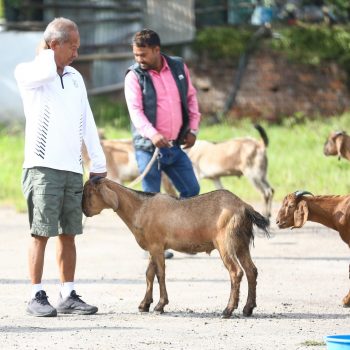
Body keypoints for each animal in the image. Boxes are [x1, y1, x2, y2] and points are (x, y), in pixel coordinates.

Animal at [83, 178, 270, 318]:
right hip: (241, 243)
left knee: (236, 272)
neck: (140, 207)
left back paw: (228, 310)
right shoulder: (152, 247)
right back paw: (248, 308)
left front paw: (160, 305)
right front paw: (144, 304)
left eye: (90, 193)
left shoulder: (157, 245)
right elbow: (149, 274)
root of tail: (244, 207)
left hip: (225, 243)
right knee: (251, 270)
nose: (84, 210)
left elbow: (160, 274)